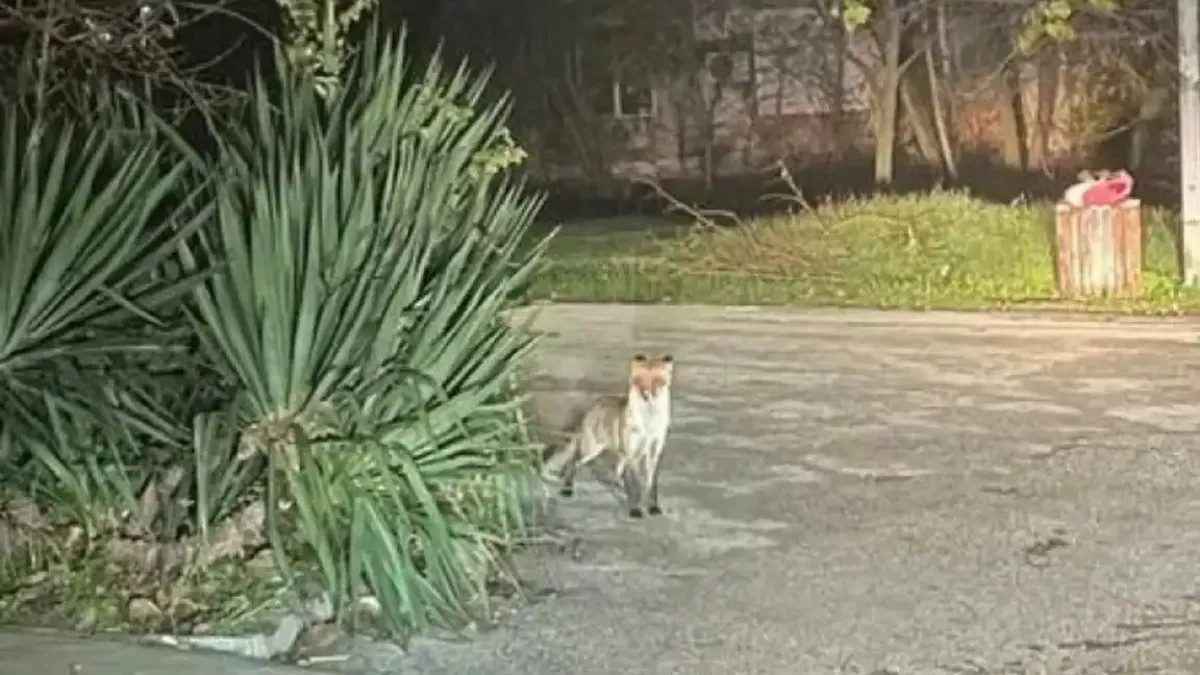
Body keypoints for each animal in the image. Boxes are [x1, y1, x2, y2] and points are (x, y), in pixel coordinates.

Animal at [543, 354, 674, 519]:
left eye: (657, 380)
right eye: (639, 380)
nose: (646, 394)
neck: (648, 424)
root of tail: (594, 405)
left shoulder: (653, 453)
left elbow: (650, 486)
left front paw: (653, 507)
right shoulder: (634, 454)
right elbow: (637, 486)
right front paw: (636, 510)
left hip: (620, 454)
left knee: (616, 473)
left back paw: (620, 489)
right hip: (592, 449)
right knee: (574, 463)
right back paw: (568, 489)